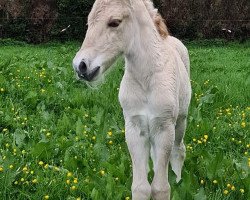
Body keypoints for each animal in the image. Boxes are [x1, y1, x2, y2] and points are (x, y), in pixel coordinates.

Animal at [73, 0, 191, 199]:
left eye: (114, 22)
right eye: (89, 23)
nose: (80, 66)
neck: (146, 80)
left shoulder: (164, 128)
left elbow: (161, 188)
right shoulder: (134, 128)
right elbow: (140, 187)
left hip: (180, 120)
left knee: (179, 150)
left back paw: (178, 179)